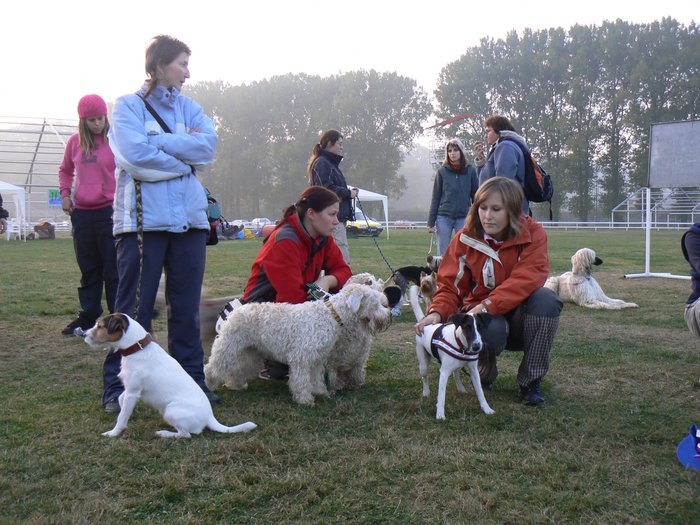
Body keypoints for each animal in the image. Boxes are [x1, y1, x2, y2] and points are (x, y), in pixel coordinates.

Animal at [82, 312, 258, 438]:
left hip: (171, 410)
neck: (137, 348)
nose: (83, 334)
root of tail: (210, 417)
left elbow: (122, 417)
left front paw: (113, 433)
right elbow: (120, 399)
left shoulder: (133, 392)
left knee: (186, 435)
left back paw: (165, 433)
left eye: (100, 326)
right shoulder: (130, 389)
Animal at [206, 282, 394, 406]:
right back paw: (207, 386)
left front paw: (322, 393)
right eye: (375, 303)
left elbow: (316, 378)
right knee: (212, 368)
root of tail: (236, 311)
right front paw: (305, 400)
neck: (332, 315)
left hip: (251, 353)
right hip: (228, 348)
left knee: (238, 370)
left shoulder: (318, 359)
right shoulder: (302, 358)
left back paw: (235, 385)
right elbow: (301, 380)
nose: (388, 315)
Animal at [408, 284, 494, 420]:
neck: (461, 345)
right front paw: (440, 415)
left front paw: (486, 408)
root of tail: (423, 321)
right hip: (423, 364)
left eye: (480, 327)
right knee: (425, 377)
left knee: (456, 373)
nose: (477, 347)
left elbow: (480, 392)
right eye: (467, 327)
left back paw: (461, 388)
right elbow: (441, 396)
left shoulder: (474, 371)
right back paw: (426, 392)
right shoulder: (443, 373)